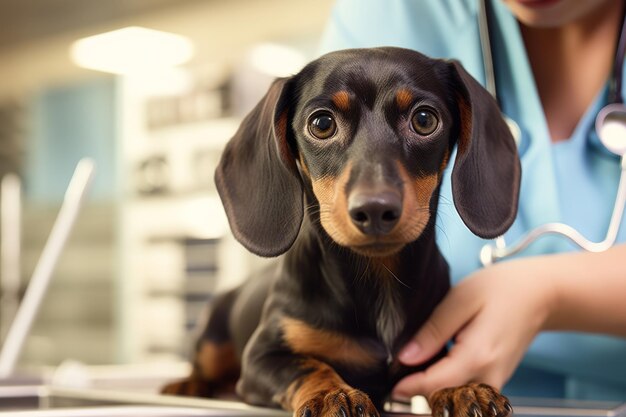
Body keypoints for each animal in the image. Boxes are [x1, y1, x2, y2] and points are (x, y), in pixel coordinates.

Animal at [163, 47, 520, 416]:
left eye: (424, 120)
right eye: (322, 124)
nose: (375, 210)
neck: (379, 277)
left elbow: (439, 375)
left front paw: (460, 389)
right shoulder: (263, 357)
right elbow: (309, 366)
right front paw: (332, 394)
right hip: (211, 340)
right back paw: (186, 384)